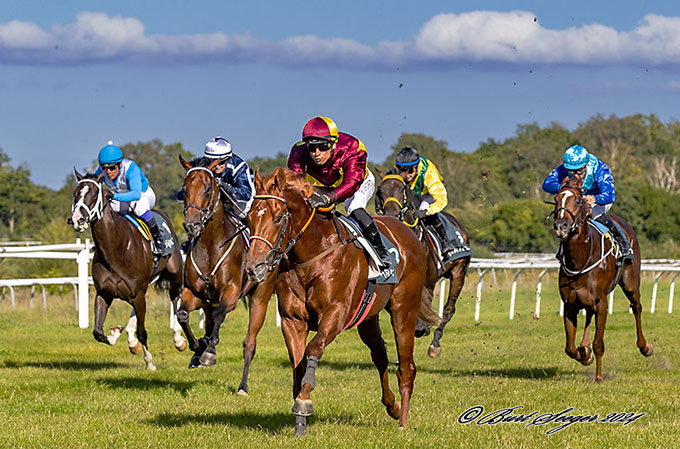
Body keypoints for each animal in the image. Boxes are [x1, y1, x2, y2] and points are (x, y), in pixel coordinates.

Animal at [69, 170, 186, 370]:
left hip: (174, 276)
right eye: (75, 194)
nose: (77, 219)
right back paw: (131, 341)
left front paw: (150, 363)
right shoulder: (104, 293)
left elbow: (143, 332)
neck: (115, 249)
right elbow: (97, 332)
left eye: (94, 193)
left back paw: (179, 339)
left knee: (175, 298)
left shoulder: (137, 292)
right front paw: (116, 334)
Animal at [178, 156, 278, 394]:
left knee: (249, 343)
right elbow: (183, 315)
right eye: (185, 188)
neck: (210, 246)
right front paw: (197, 346)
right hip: (207, 300)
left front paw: (208, 352)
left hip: (260, 296)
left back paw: (242, 386)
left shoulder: (231, 295)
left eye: (207, 188)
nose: (191, 224)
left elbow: (218, 316)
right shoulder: (195, 294)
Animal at [246, 167, 440, 434]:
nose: (254, 267)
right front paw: (299, 422)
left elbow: (314, 347)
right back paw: (393, 406)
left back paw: (402, 422)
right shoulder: (292, 320)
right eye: (249, 218)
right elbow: (298, 364)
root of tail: (407, 233)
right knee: (380, 355)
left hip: (404, 310)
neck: (312, 254)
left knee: (406, 367)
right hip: (367, 317)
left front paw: (304, 401)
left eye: (277, 218)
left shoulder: (335, 314)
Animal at [374, 171, 470, 356]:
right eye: (380, 190)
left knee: (449, 309)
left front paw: (422, 327)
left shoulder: (427, 279)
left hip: (459, 272)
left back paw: (435, 344)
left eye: (402, 189)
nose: (391, 215)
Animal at [548, 177, 652, 380]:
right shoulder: (570, 303)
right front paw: (584, 354)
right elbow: (569, 347)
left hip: (630, 282)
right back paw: (584, 347)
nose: (561, 226)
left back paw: (645, 346)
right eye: (556, 199)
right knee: (589, 314)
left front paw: (598, 377)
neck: (580, 260)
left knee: (636, 306)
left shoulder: (601, 301)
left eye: (578, 200)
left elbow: (598, 343)